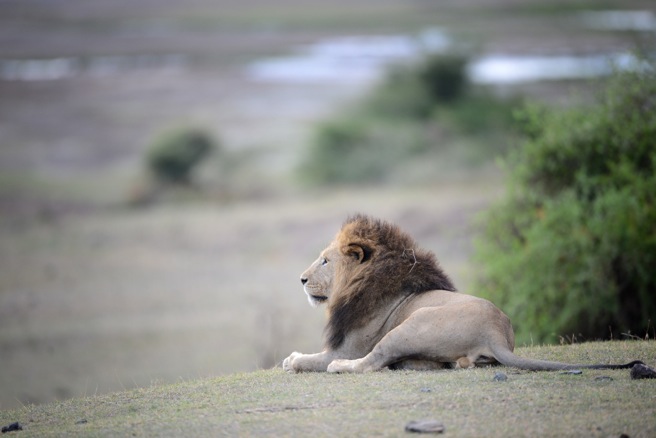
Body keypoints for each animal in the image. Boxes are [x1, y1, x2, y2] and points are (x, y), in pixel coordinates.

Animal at [282, 213, 640, 372]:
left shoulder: (349, 347)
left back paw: (343, 368)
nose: (301, 279)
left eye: (325, 260)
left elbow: (311, 360)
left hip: (412, 324)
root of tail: (495, 333)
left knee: (373, 362)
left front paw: (292, 358)